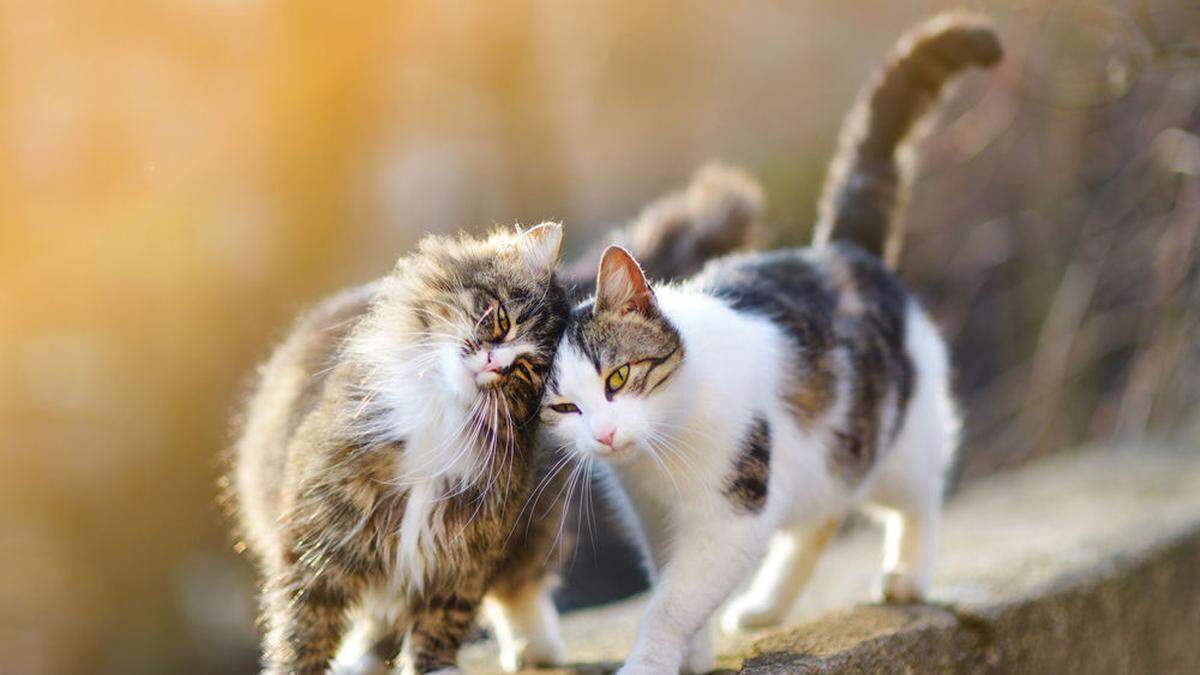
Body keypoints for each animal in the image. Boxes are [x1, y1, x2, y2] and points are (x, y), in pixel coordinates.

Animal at [226, 165, 758, 667]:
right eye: (500, 320)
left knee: (519, 586)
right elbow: (304, 634)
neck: (442, 417)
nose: (493, 363)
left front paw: (436, 667)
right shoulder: (326, 534)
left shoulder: (467, 540)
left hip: (532, 520)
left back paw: (535, 647)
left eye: (526, 369)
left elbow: (442, 620)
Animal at [544, 15, 1003, 672]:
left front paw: (652, 658)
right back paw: (764, 607)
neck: (663, 452)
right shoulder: (655, 519)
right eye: (562, 407)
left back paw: (907, 575)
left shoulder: (733, 516)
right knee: (821, 517)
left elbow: (673, 600)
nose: (604, 436)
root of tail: (840, 249)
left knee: (919, 497)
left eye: (618, 377)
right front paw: (694, 653)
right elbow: (672, 584)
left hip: (901, 436)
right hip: (825, 456)